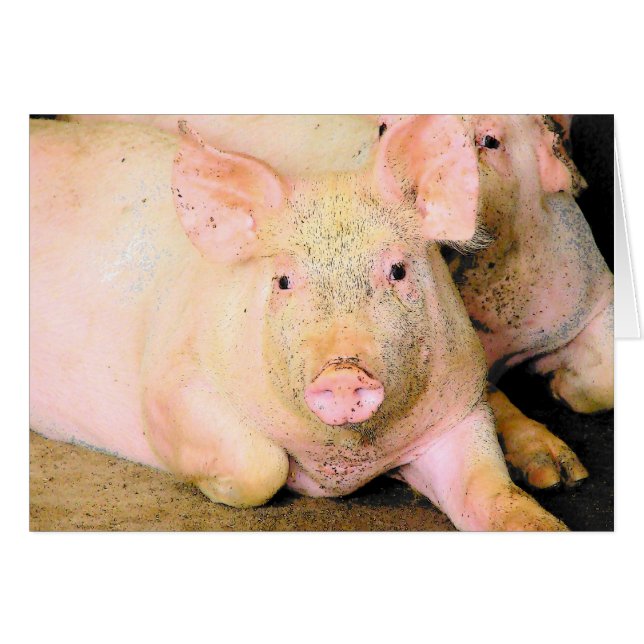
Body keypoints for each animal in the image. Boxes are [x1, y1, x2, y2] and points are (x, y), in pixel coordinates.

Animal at [29, 117, 565, 530]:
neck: (346, 458)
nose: (344, 371)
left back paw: (560, 471)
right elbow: (261, 464)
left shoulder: (460, 408)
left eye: (397, 270)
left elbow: (492, 490)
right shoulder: (169, 383)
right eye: (284, 280)